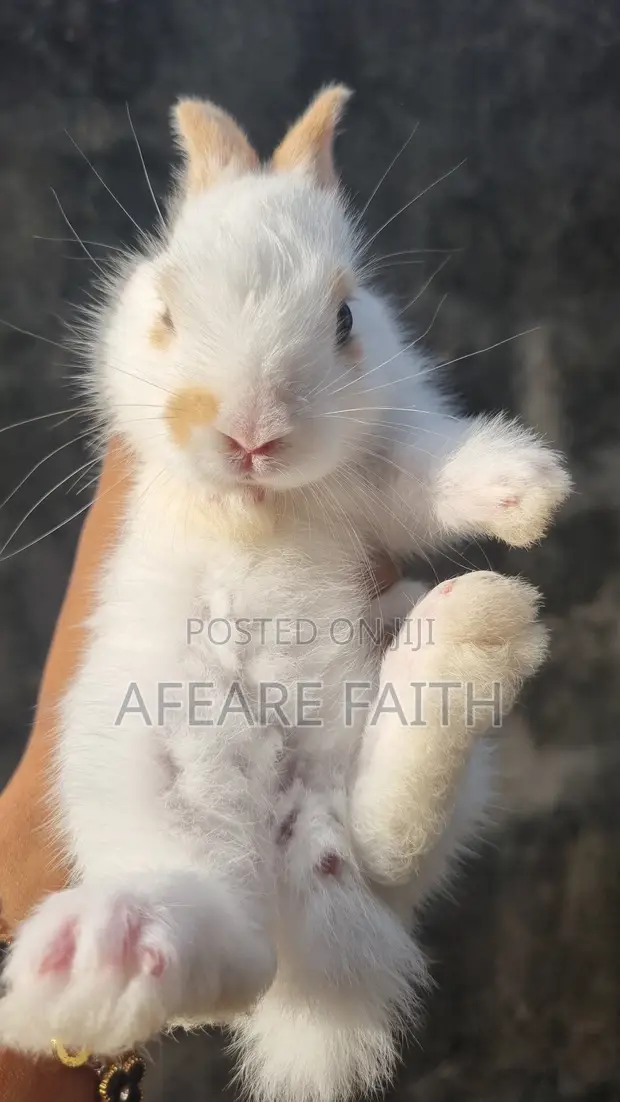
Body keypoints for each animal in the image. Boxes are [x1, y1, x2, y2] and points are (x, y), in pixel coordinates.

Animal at [0, 86, 570, 1102]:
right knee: (228, 946)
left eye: (345, 317)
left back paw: (465, 635)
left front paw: (523, 487)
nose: (252, 436)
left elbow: (423, 472)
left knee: (381, 850)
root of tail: (300, 844)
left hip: (403, 782)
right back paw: (102, 954)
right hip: (146, 773)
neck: (267, 508)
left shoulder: (380, 469)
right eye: (165, 310)